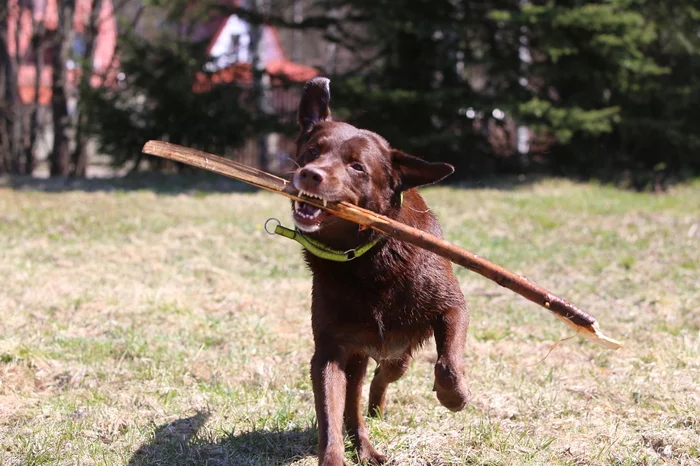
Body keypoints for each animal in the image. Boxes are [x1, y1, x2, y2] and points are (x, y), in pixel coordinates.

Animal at [290, 78, 470, 464]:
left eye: (357, 167)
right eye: (312, 150)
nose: (309, 174)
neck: (365, 260)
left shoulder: (451, 306)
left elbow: (448, 364)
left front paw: (454, 398)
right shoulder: (330, 351)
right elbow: (330, 413)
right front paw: (333, 457)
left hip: (398, 352)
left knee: (385, 376)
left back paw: (378, 411)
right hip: (362, 356)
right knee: (355, 404)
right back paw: (366, 442)